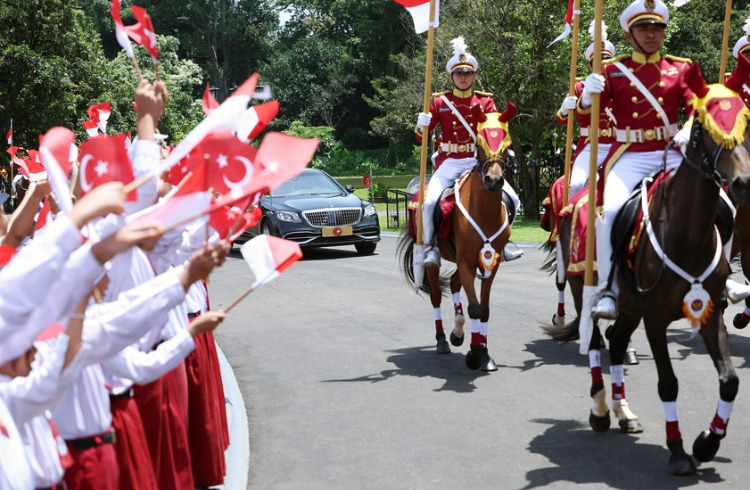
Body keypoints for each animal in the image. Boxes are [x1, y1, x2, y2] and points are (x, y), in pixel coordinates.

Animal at [400, 104, 516, 372]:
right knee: (435, 294)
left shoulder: (489, 262)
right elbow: (474, 308)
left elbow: (484, 310)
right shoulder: (466, 261)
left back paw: (458, 332)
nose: (494, 181)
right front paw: (475, 353)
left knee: (453, 285)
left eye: (506, 142)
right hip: (436, 260)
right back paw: (443, 339)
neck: (484, 211)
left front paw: (485, 354)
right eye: (481, 143)